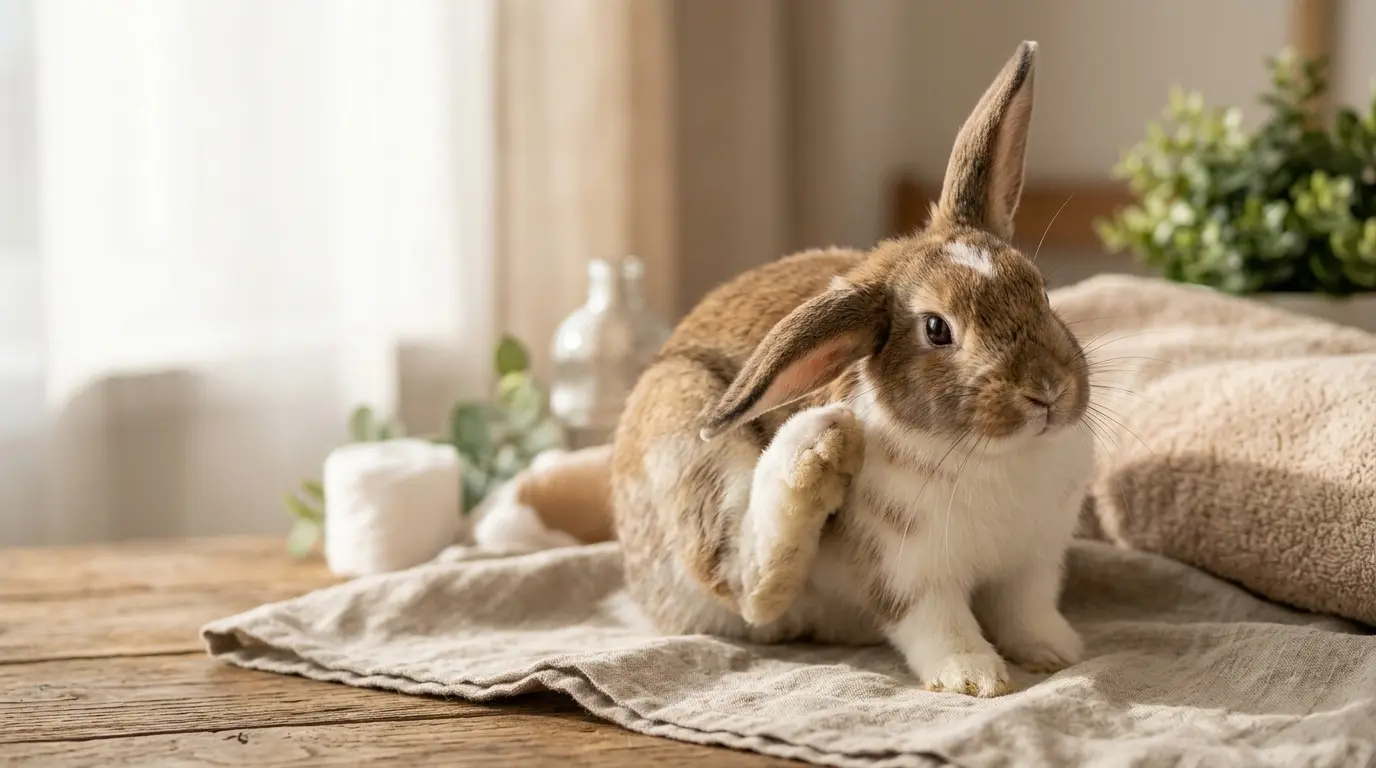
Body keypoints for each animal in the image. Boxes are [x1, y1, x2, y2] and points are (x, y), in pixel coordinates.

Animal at [611, 41, 1094, 697]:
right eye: (936, 329)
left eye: (1040, 290)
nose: (1046, 392)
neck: (1001, 456)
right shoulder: (906, 572)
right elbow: (938, 625)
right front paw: (974, 679)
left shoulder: (1033, 562)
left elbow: (1027, 610)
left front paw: (1056, 652)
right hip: (686, 432)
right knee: (751, 588)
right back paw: (818, 447)